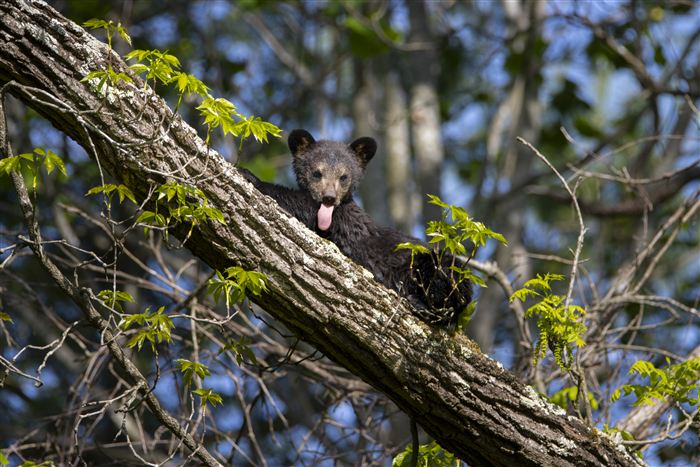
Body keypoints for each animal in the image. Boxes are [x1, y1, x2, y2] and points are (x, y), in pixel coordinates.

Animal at [239, 129, 472, 325]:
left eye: (343, 176)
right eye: (317, 173)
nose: (329, 198)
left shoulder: (344, 221)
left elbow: (302, 206)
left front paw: (251, 176)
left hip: (438, 266)